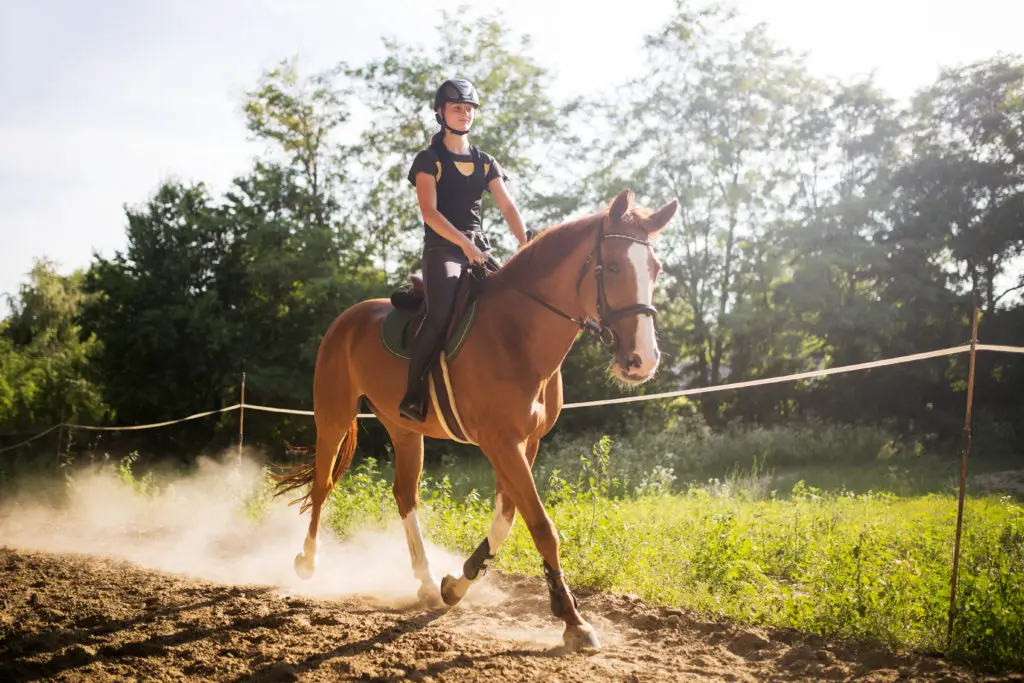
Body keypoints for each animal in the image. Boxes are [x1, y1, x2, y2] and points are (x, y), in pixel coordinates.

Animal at [272, 189, 679, 651]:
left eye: (655, 269)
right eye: (611, 267)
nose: (642, 360)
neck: (518, 332)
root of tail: (348, 318)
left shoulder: (524, 443)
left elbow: (506, 519)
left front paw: (457, 583)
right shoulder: (500, 442)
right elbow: (541, 525)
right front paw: (572, 619)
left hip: (404, 429)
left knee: (404, 494)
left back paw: (426, 581)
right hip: (334, 413)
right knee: (323, 484)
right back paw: (308, 561)